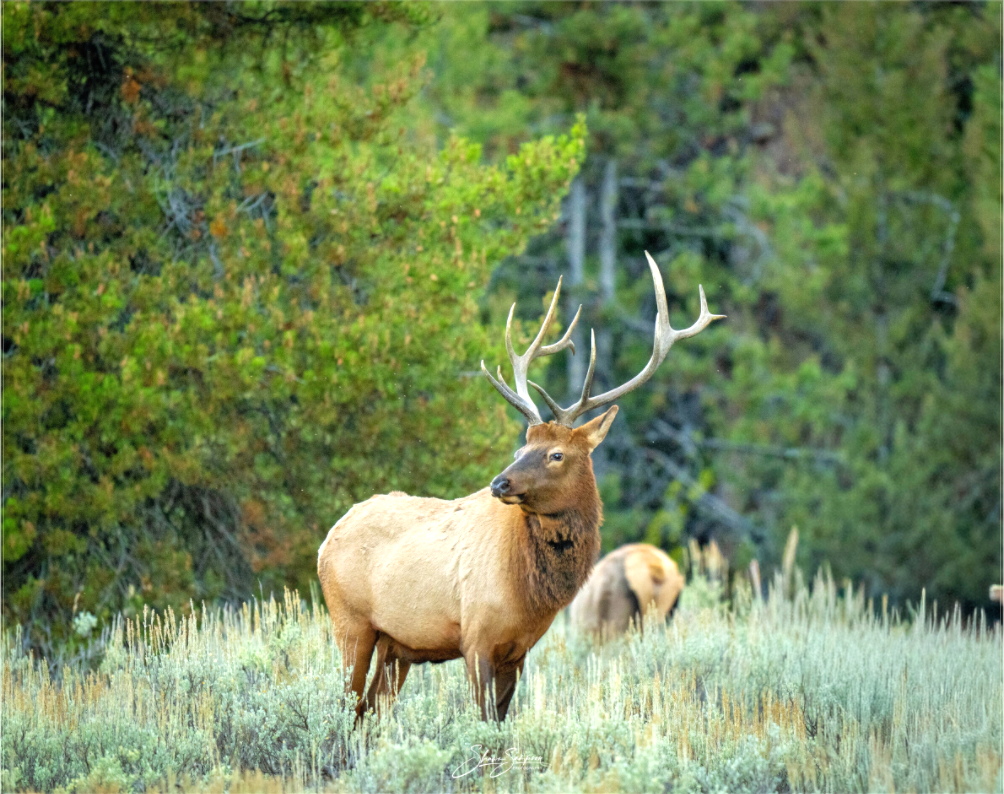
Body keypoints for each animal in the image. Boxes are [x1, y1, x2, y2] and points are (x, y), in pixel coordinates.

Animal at [317, 251, 724, 722]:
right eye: (521, 447)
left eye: (556, 454)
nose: (499, 482)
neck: (529, 595)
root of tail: (326, 542)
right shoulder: (476, 637)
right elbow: (483, 721)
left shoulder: (519, 650)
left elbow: (501, 720)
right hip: (350, 623)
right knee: (346, 705)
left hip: (396, 646)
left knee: (369, 713)